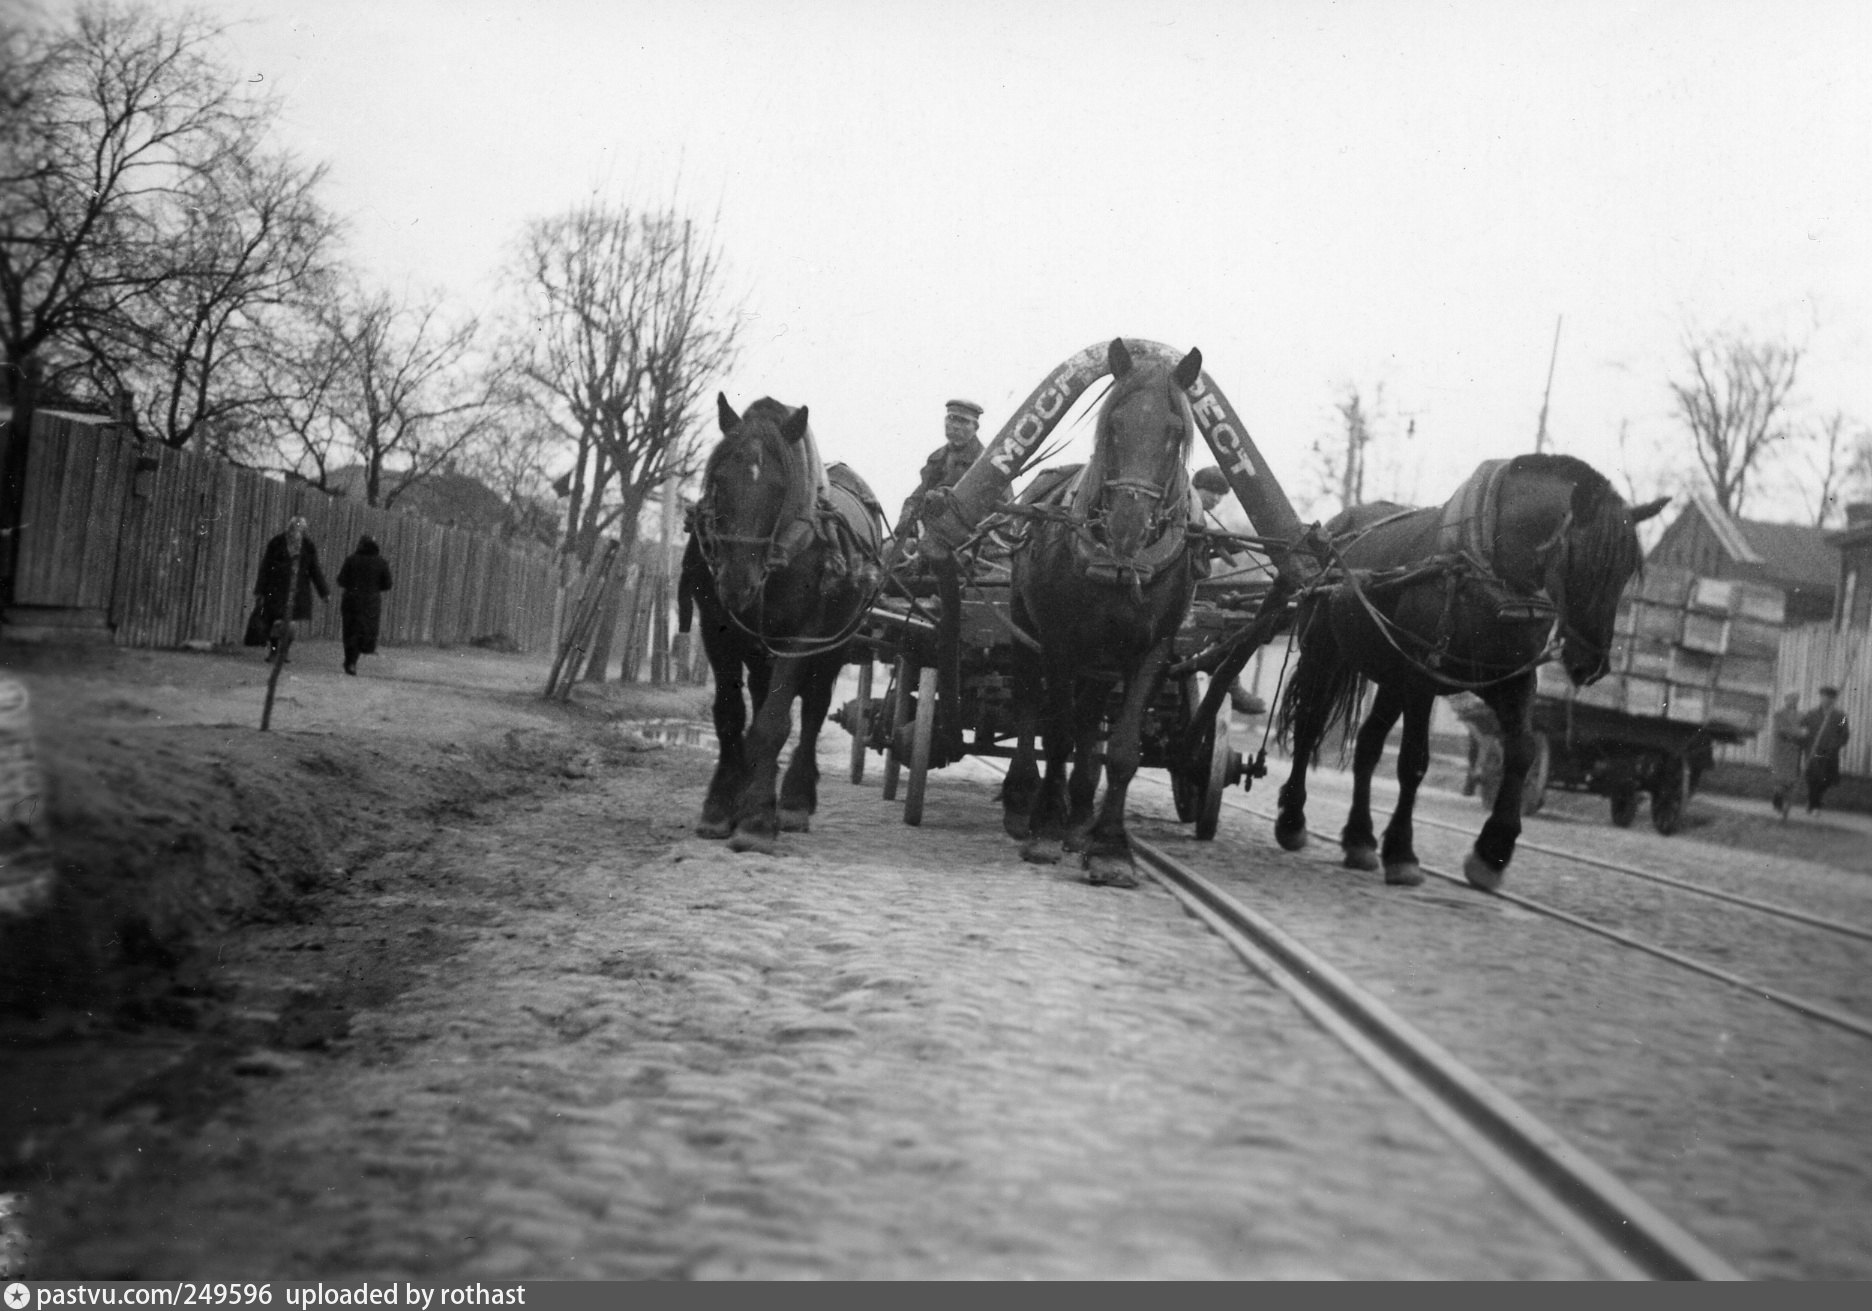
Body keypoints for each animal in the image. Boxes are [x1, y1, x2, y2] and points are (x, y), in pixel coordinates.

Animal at [681, 395, 883, 854]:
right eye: (719, 479)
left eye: (778, 488)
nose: (737, 583)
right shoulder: (716, 630)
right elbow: (731, 715)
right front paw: (721, 808)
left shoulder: (800, 638)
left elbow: (775, 722)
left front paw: (757, 820)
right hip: (760, 649)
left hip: (833, 648)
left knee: (813, 712)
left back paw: (793, 801)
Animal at [1003, 340, 1205, 891]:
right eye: (1113, 422)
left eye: (1176, 432)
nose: (1126, 527)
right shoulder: (1059, 643)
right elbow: (1056, 733)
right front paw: (1046, 830)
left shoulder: (1152, 650)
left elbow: (1122, 749)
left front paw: (1110, 848)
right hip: (1025, 632)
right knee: (1029, 707)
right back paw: (1023, 801)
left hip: (1101, 664)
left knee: (1090, 720)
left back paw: (1079, 818)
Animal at [1272, 453, 1669, 891]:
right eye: (1587, 562)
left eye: (1625, 572)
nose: (1592, 664)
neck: (1486, 566)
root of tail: (1331, 532)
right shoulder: (1422, 681)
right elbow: (1413, 761)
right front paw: (1402, 853)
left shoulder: (1512, 681)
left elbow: (1522, 752)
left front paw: (1492, 853)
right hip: (1323, 656)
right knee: (1309, 726)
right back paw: (1293, 820)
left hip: (1392, 679)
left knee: (1368, 744)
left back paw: (1359, 839)